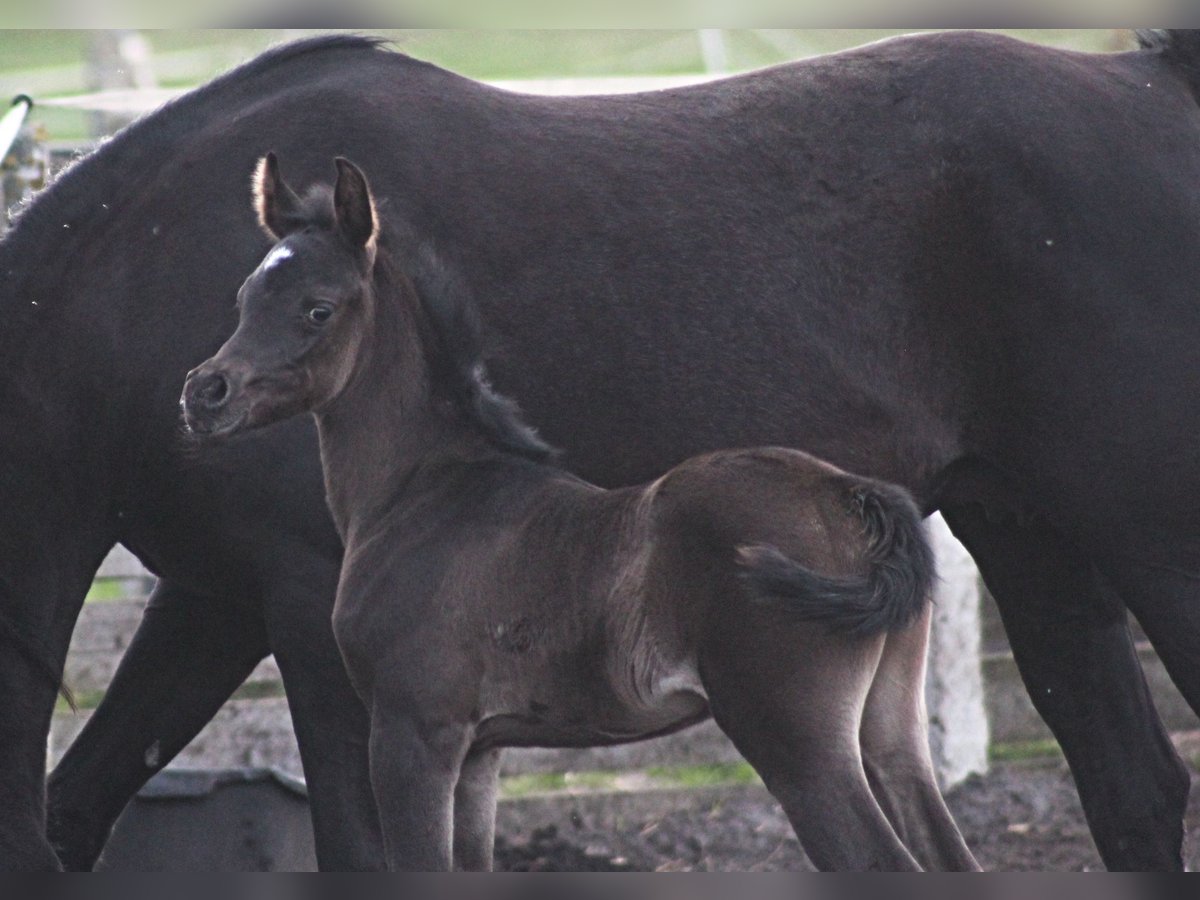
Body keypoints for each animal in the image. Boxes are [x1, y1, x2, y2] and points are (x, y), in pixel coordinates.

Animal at [7, 30, 1200, 873]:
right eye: (242, 300)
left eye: (312, 309)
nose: (202, 397)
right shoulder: (216, 601)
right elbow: (72, 808)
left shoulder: (305, 614)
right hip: (1028, 533)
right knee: (1133, 792)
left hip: (1149, 535)